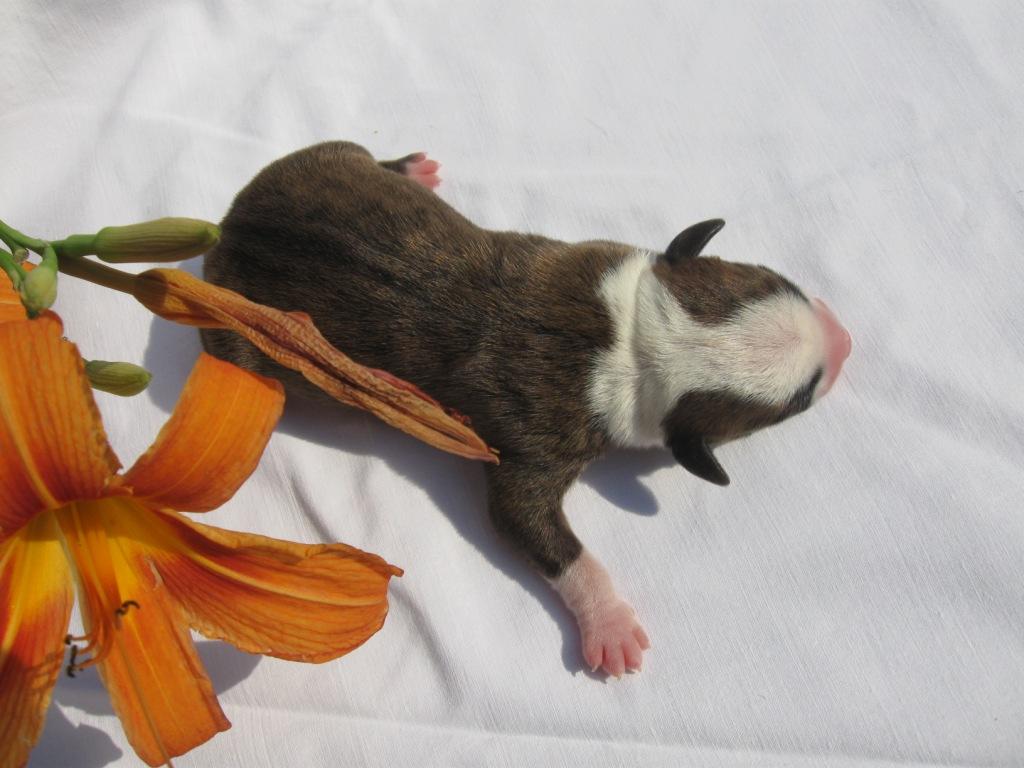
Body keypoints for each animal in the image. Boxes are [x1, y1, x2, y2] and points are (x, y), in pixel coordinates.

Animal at [201, 141, 852, 677]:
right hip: (236, 337)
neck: (634, 340)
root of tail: (227, 228)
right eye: (800, 398)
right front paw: (610, 625)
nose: (845, 340)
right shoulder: (534, 441)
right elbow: (532, 526)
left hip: (320, 159)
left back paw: (409, 170)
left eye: (784, 284)